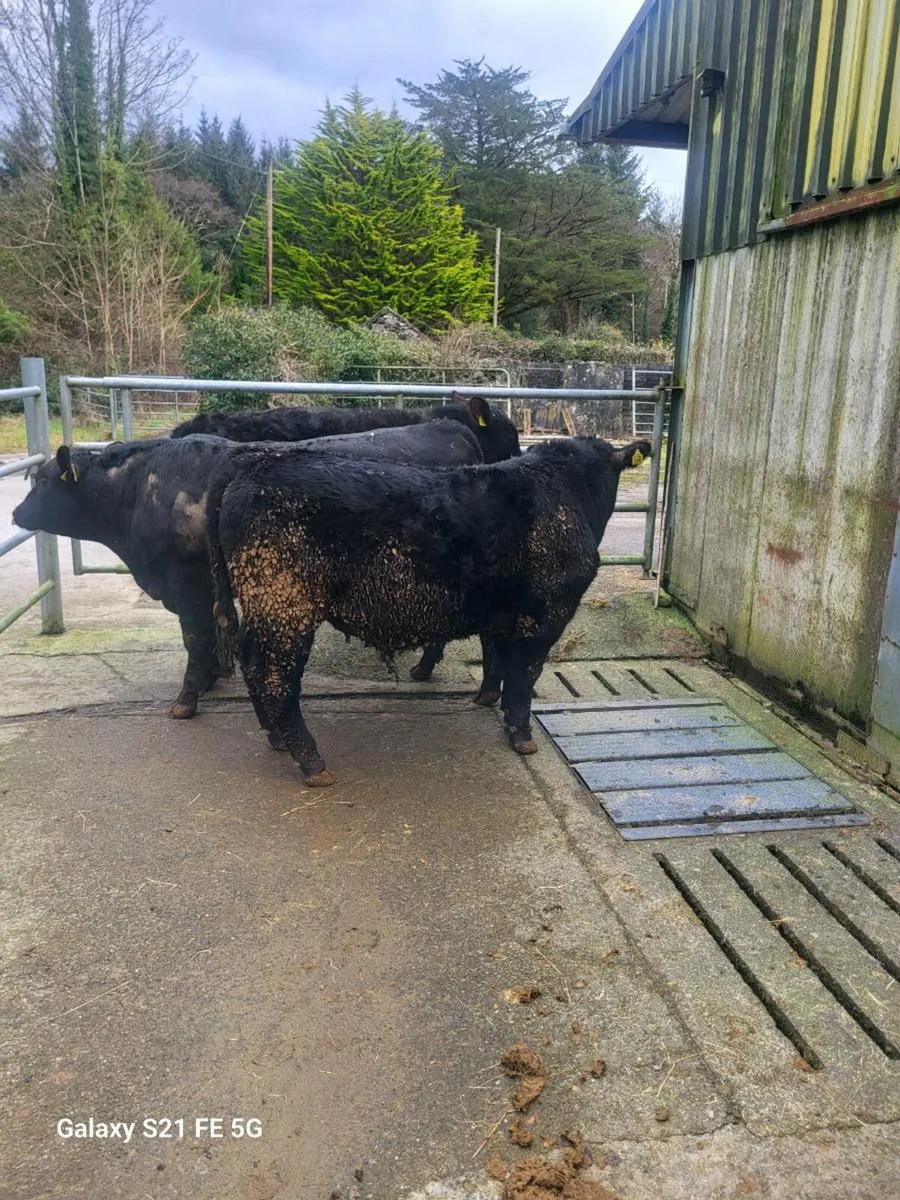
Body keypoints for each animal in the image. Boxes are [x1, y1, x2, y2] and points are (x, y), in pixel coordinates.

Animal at [11, 420, 486, 720]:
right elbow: (211, 637)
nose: (15, 513)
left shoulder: (187, 584)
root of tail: (448, 426)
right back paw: (425, 668)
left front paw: (188, 698)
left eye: (44, 481)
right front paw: (210, 679)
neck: (143, 489)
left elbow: (196, 639)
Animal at [209, 436, 652, 786]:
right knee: (275, 677)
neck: (564, 493)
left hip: (264, 603)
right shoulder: (546, 613)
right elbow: (524, 675)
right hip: (286, 602)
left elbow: (494, 655)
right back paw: (312, 762)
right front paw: (521, 735)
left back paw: (275, 736)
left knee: (251, 661)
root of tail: (253, 465)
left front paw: (487, 698)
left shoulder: (498, 609)